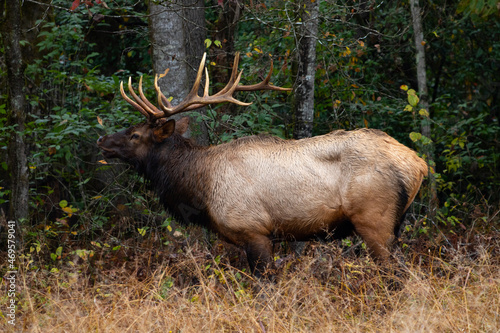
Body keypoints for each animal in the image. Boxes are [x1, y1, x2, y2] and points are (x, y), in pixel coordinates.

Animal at [96, 52, 426, 274]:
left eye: (135, 135)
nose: (101, 141)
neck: (199, 189)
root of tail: (419, 164)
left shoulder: (253, 230)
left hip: (374, 219)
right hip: (396, 222)